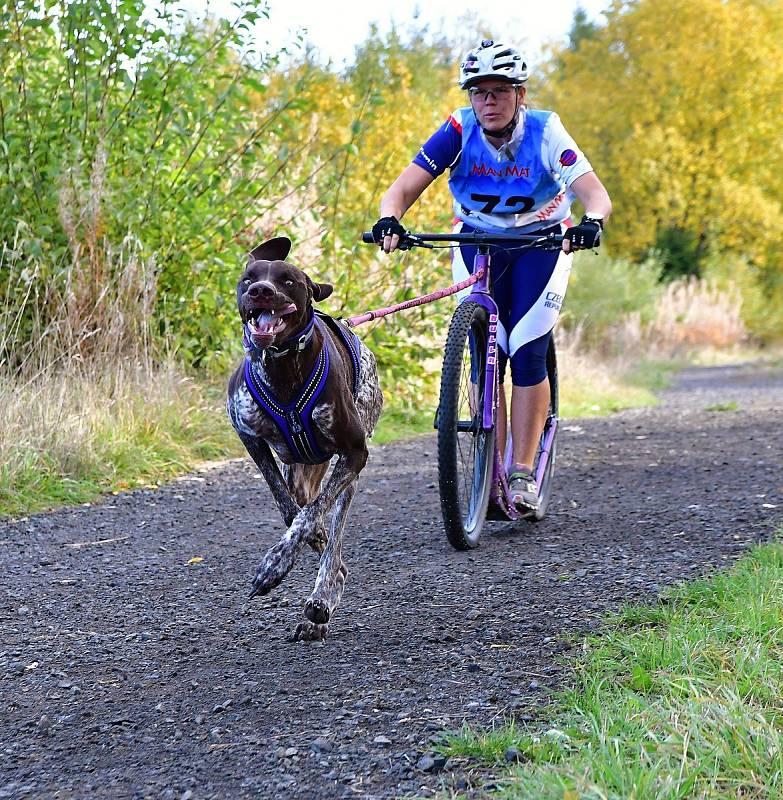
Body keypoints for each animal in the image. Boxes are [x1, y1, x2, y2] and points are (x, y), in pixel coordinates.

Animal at [225, 234, 384, 640]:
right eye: (249, 279)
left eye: (287, 280)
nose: (261, 291)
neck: (282, 369)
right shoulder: (249, 436)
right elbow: (288, 508)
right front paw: (303, 543)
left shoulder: (355, 452)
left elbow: (312, 515)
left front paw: (275, 565)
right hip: (302, 470)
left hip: (349, 470)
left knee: (334, 531)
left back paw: (322, 598)